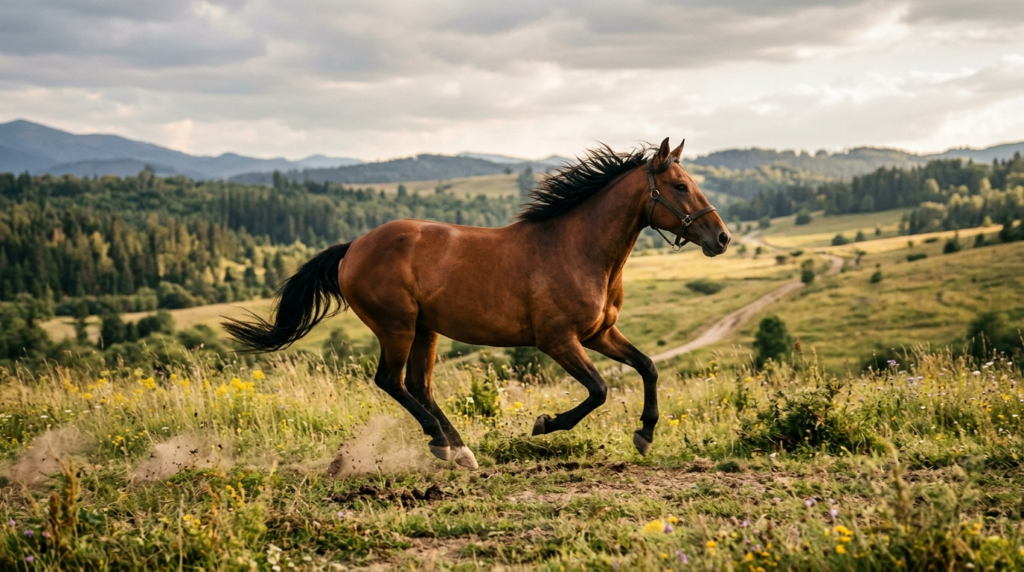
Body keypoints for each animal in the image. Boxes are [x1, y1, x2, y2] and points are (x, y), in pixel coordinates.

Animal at [224, 137, 730, 469]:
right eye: (680, 186)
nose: (721, 238)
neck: (578, 249)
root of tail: (353, 248)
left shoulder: (599, 333)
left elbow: (647, 367)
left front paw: (645, 434)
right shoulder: (558, 340)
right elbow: (599, 390)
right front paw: (545, 424)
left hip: (425, 329)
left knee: (419, 385)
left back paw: (459, 449)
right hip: (397, 326)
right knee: (391, 381)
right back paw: (442, 444)